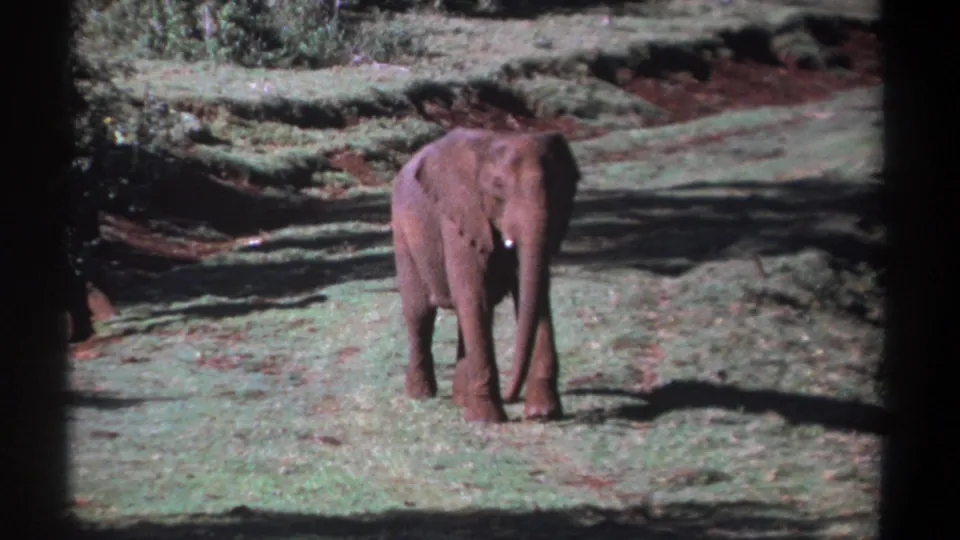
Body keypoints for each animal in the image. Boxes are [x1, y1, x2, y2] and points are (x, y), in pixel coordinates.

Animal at [390, 127, 581, 423]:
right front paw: (486, 419)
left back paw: (460, 401)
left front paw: (543, 413)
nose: (512, 396)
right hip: (403, 233)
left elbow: (533, 295)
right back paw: (421, 395)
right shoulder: (459, 215)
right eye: (499, 186)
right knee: (420, 313)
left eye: (555, 187)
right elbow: (474, 296)